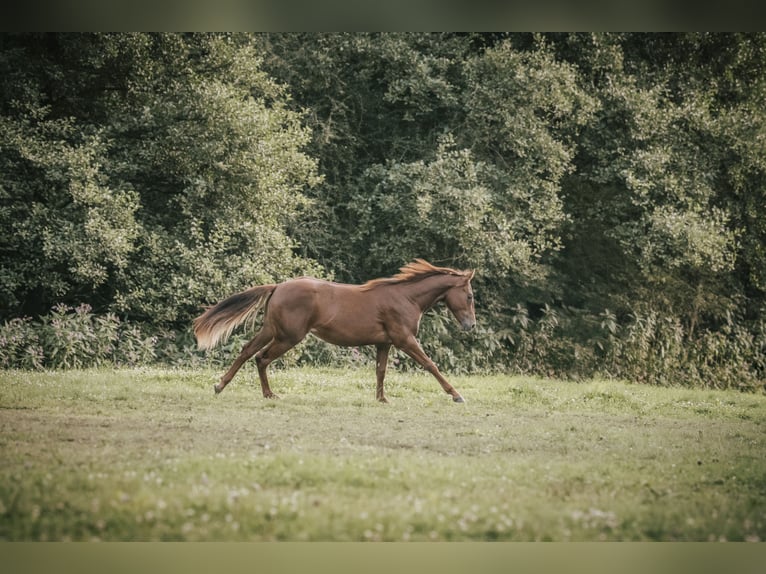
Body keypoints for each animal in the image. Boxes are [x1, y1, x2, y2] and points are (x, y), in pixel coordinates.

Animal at [193, 259, 476, 403]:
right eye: (470, 296)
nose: (471, 326)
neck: (406, 298)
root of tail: (278, 287)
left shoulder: (384, 343)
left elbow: (381, 371)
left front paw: (381, 399)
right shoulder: (404, 340)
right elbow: (430, 364)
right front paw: (457, 395)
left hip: (273, 330)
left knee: (247, 351)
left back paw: (223, 386)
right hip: (288, 337)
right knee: (261, 358)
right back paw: (266, 393)